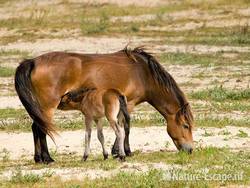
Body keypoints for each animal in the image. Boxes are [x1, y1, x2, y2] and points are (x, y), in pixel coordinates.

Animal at [14, 47, 194, 164]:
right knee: (41, 129)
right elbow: (125, 127)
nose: (190, 150)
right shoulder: (128, 103)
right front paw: (124, 151)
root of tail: (33, 62)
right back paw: (48, 159)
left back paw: (38, 158)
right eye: (186, 126)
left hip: (40, 109)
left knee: (36, 128)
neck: (142, 73)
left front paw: (117, 152)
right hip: (47, 107)